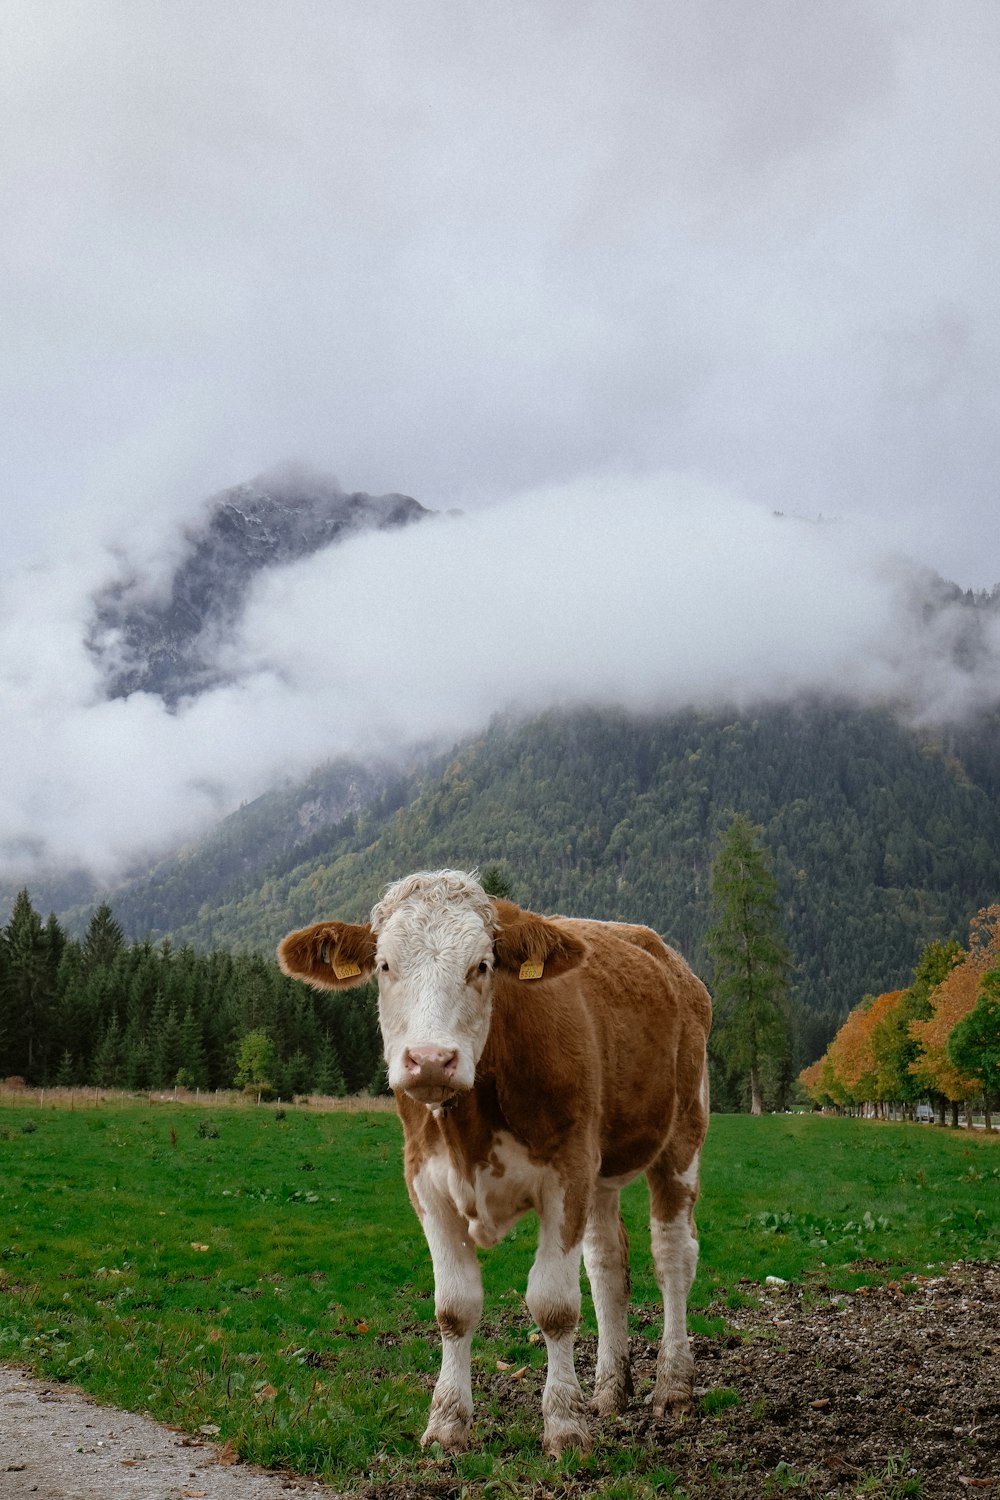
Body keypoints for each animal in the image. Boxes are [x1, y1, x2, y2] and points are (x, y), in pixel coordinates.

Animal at [275, 870, 710, 1452]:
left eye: (481, 965)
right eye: (384, 965)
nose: (430, 1060)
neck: (471, 1130)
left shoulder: (568, 1173)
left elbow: (554, 1305)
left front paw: (564, 1426)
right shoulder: (426, 1182)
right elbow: (454, 1307)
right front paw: (446, 1424)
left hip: (682, 1133)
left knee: (673, 1256)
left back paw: (673, 1387)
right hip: (602, 1171)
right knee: (607, 1264)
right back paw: (608, 1392)